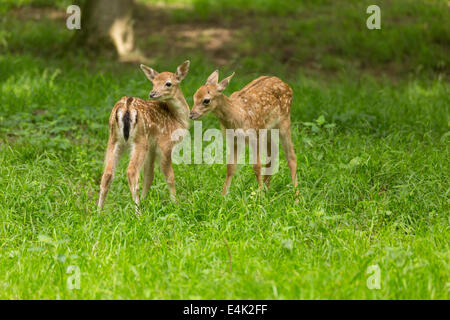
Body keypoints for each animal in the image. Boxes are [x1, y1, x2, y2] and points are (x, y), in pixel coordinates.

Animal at [97, 60, 191, 211]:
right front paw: (176, 204)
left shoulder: (152, 148)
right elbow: (169, 177)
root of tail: (127, 107)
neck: (177, 118)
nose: (152, 93)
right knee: (131, 171)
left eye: (168, 83)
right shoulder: (165, 144)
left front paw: (144, 200)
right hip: (140, 141)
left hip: (114, 140)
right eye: (153, 82)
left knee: (107, 173)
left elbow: (149, 175)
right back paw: (138, 212)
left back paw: (98, 211)